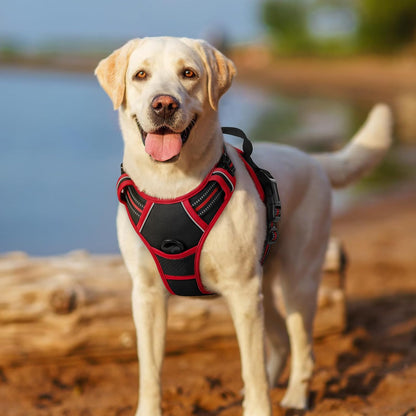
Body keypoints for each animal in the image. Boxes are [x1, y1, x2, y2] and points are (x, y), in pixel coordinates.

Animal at [95, 37, 394, 414]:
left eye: (188, 74)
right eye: (140, 75)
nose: (163, 104)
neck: (171, 184)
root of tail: (313, 160)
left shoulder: (242, 290)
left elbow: (251, 367)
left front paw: (259, 406)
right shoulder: (147, 294)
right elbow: (150, 371)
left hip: (297, 282)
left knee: (302, 347)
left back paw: (296, 396)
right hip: (263, 283)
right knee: (280, 341)